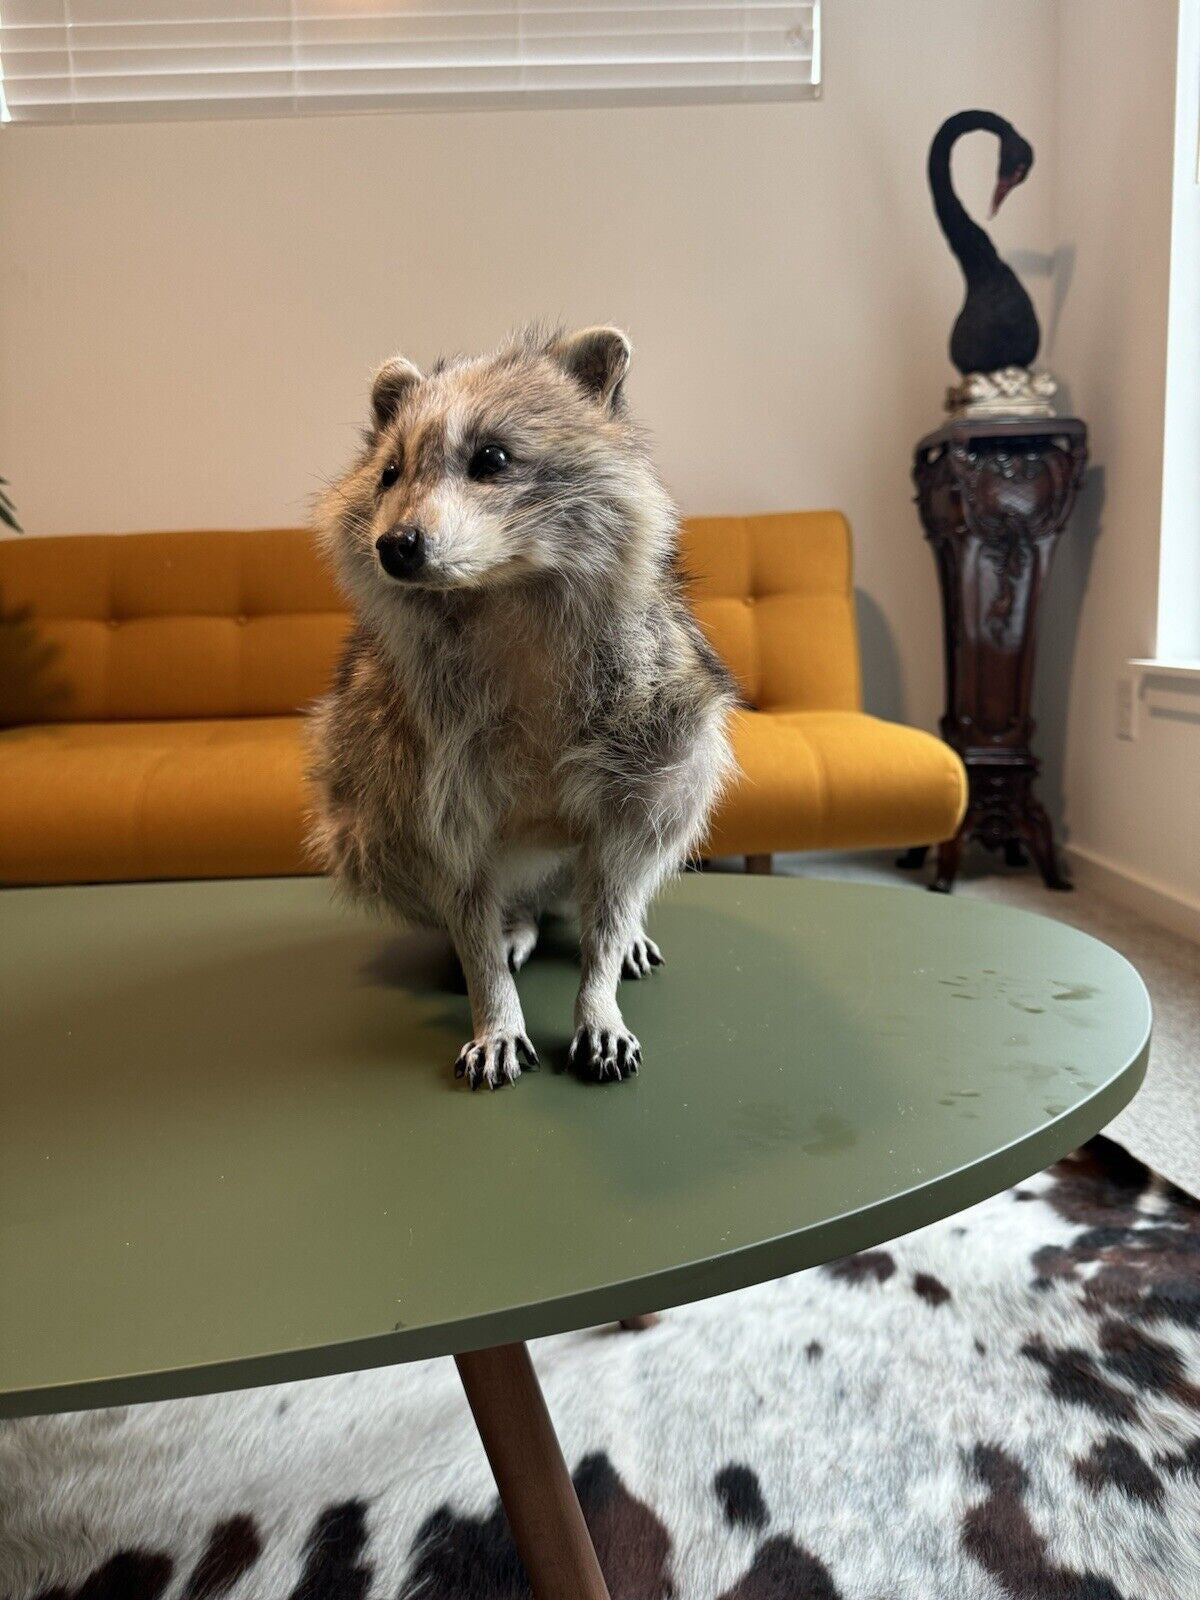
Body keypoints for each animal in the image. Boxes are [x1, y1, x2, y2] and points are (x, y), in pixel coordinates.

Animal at [308, 325, 736, 1088]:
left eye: (492, 459)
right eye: (389, 473)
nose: (396, 546)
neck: (500, 591)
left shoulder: (655, 713)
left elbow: (622, 871)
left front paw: (598, 992)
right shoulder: (416, 759)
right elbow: (458, 885)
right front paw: (495, 1005)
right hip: (363, 799)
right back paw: (516, 921)